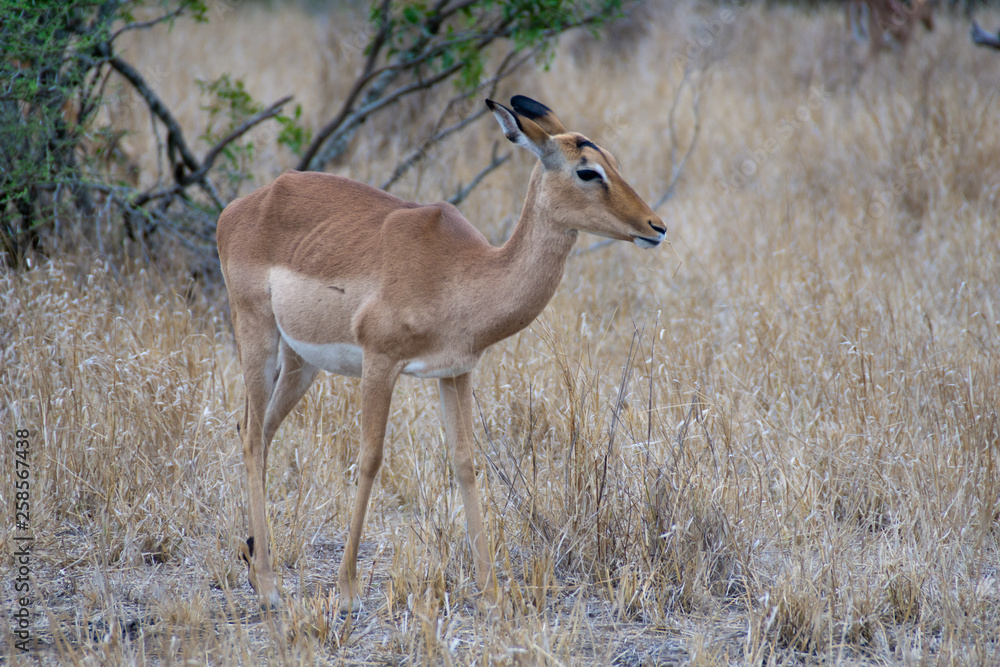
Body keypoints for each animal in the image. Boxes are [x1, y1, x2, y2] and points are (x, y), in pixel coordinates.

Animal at [217, 95, 666, 612]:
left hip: (300, 362)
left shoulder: (456, 372)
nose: (657, 227)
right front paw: (348, 591)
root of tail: (241, 207)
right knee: (252, 434)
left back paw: (255, 566)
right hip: (257, 334)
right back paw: (269, 585)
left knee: (259, 431)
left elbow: (466, 463)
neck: (462, 273)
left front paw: (491, 592)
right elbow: (370, 459)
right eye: (587, 170)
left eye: (613, 160)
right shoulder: (380, 362)